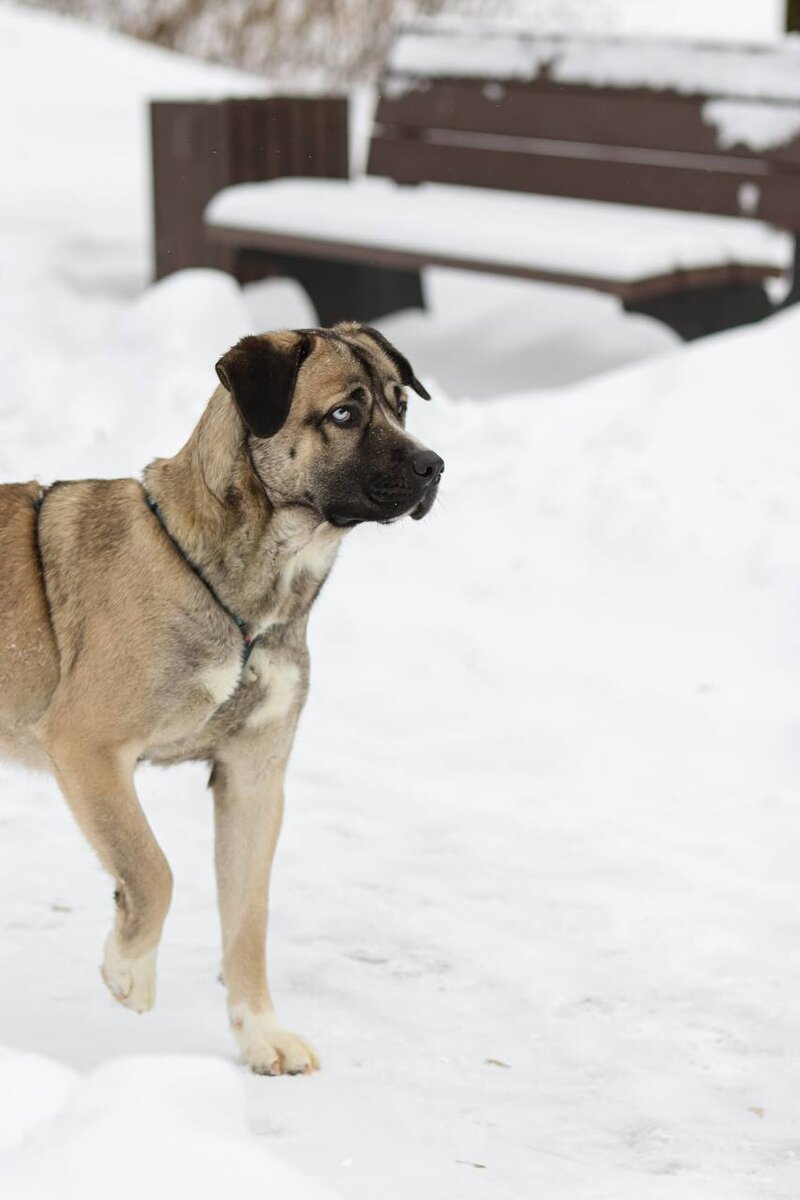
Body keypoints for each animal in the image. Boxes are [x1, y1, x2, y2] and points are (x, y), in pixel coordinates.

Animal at [0, 321, 443, 1080]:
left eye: (401, 405)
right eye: (344, 414)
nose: (434, 467)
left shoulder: (253, 778)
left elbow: (248, 916)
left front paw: (259, 1032)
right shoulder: (88, 749)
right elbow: (153, 871)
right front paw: (130, 970)